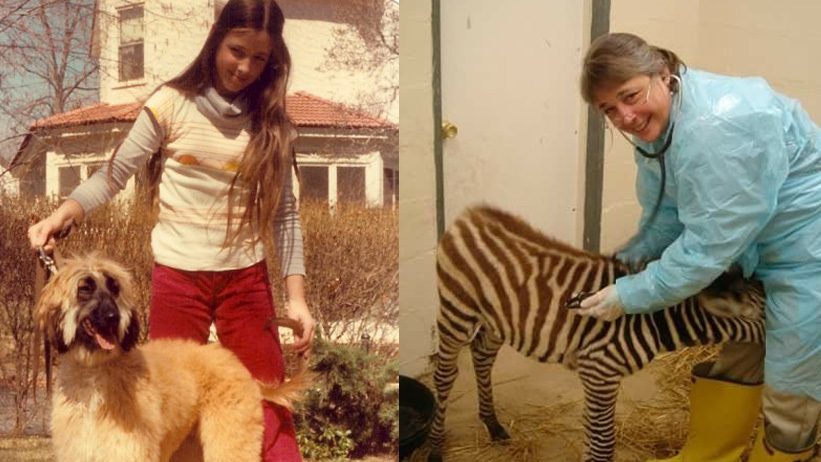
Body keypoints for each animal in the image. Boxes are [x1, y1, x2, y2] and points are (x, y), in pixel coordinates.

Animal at [32, 253, 310, 462]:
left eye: (114, 288)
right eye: (85, 289)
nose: (113, 317)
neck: (95, 373)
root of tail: (241, 367)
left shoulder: (128, 449)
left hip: (230, 435)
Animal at [426, 206, 764, 462]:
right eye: (769, 309)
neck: (654, 319)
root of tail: (472, 213)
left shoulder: (597, 379)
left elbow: (593, 434)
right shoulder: (600, 372)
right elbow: (603, 442)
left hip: (497, 318)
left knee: (482, 356)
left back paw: (493, 424)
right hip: (456, 311)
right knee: (445, 375)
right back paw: (435, 447)